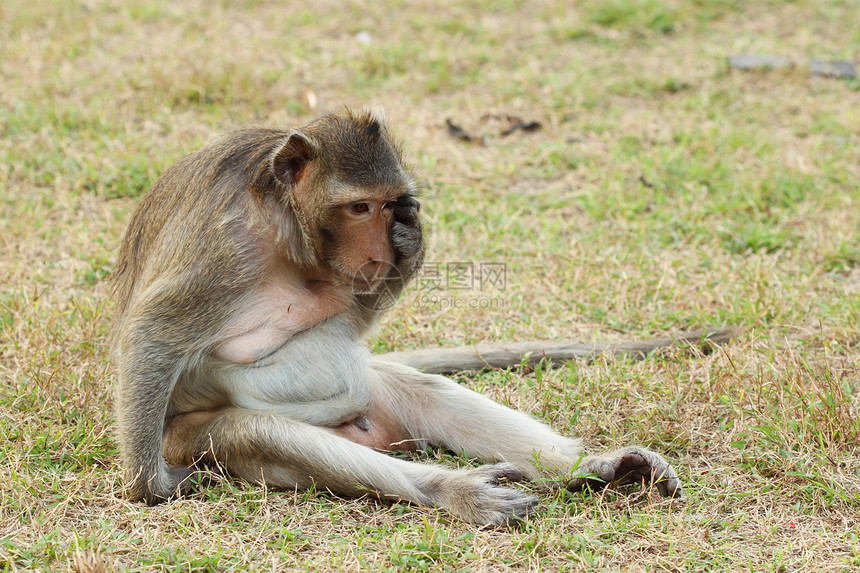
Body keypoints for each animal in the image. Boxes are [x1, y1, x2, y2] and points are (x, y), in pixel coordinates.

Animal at [109, 109, 732, 524]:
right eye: (358, 207)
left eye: (390, 206)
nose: (381, 248)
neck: (283, 217)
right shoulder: (227, 246)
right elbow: (153, 335)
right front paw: (150, 487)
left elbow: (351, 322)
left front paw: (410, 246)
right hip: (187, 436)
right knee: (256, 432)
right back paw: (451, 491)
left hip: (376, 400)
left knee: (426, 393)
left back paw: (594, 468)